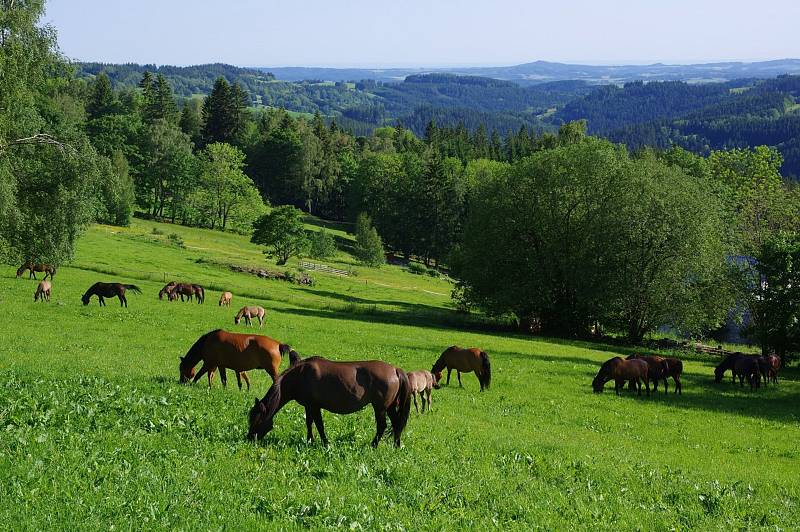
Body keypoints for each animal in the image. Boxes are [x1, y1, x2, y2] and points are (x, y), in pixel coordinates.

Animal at [248, 356, 412, 446]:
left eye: (256, 421)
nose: (249, 438)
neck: (299, 376)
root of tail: (395, 370)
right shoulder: (308, 406)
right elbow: (309, 423)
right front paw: (310, 440)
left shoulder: (314, 406)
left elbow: (319, 425)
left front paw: (325, 443)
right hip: (390, 407)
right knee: (396, 424)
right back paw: (396, 445)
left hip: (380, 408)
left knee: (382, 426)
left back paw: (374, 445)